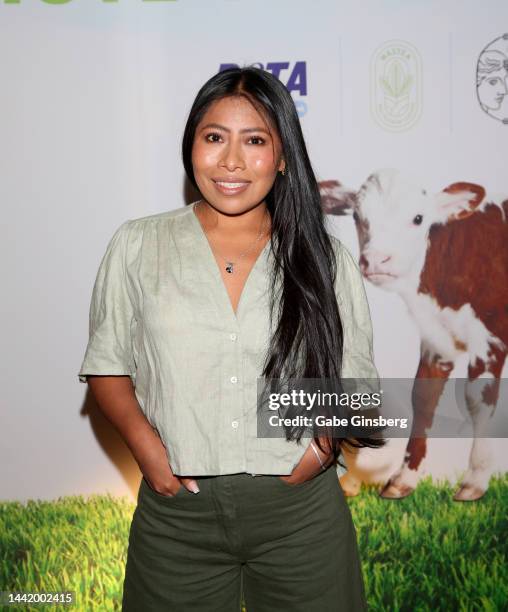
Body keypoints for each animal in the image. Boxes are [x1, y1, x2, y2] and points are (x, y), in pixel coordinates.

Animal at [322, 169, 508, 502]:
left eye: (418, 218)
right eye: (357, 216)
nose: (377, 259)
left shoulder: (491, 337)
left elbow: (478, 398)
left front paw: (475, 479)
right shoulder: (436, 339)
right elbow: (423, 396)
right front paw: (403, 478)